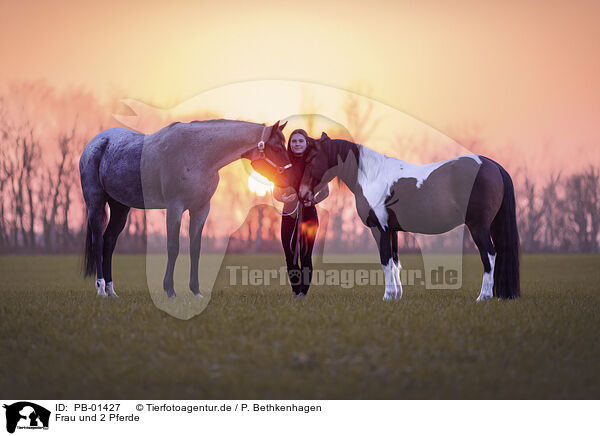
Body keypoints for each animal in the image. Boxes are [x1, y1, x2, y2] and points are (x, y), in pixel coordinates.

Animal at [79, 118, 290, 296]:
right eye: (277, 147)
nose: (289, 178)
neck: (198, 154)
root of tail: (95, 143)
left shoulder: (201, 209)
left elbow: (195, 249)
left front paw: (196, 291)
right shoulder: (175, 207)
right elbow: (173, 247)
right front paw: (169, 290)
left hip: (120, 207)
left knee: (109, 241)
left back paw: (111, 291)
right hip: (95, 203)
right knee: (98, 241)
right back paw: (101, 290)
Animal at [298, 133, 516, 302]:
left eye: (311, 159)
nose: (302, 193)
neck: (372, 177)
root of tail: (492, 165)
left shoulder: (379, 229)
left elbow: (385, 260)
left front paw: (388, 296)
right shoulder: (392, 231)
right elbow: (395, 262)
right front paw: (397, 295)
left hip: (478, 226)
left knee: (489, 255)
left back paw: (483, 297)